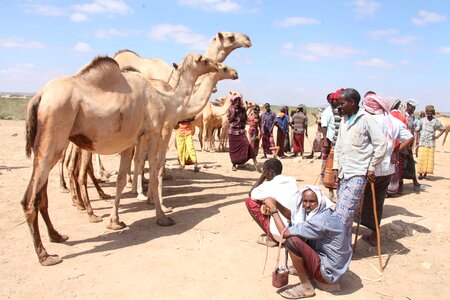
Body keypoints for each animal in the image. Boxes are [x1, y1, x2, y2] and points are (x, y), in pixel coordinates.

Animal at [22, 53, 218, 264]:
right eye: (204, 59)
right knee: (31, 197)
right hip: (55, 132)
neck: (165, 100)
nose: (217, 65)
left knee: (44, 191)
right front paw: (162, 217)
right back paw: (45, 255)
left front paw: (115, 221)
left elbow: (122, 178)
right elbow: (154, 171)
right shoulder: (154, 131)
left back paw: (57, 235)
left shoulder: (129, 140)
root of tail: (39, 96)